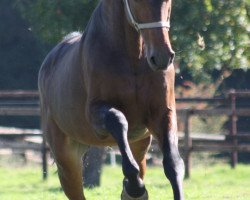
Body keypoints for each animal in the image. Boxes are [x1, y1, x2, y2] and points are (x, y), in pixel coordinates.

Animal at [38, 0, 185, 200]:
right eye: (137, 1)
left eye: (169, 1)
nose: (162, 56)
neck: (133, 58)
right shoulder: (95, 113)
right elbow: (118, 120)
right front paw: (134, 188)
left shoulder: (163, 113)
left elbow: (173, 164)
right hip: (66, 159)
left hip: (139, 143)